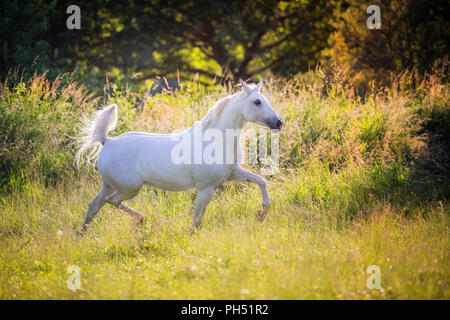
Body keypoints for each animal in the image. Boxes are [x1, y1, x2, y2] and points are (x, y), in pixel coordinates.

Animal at [75, 79, 284, 230]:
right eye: (257, 102)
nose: (279, 122)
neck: (215, 140)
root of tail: (107, 141)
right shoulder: (206, 188)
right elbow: (196, 221)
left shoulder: (233, 174)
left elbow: (261, 182)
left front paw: (261, 213)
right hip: (130, 188)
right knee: (110, 202)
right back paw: (141, 218)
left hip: (110, 185)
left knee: (94, 205)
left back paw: (83, 233)